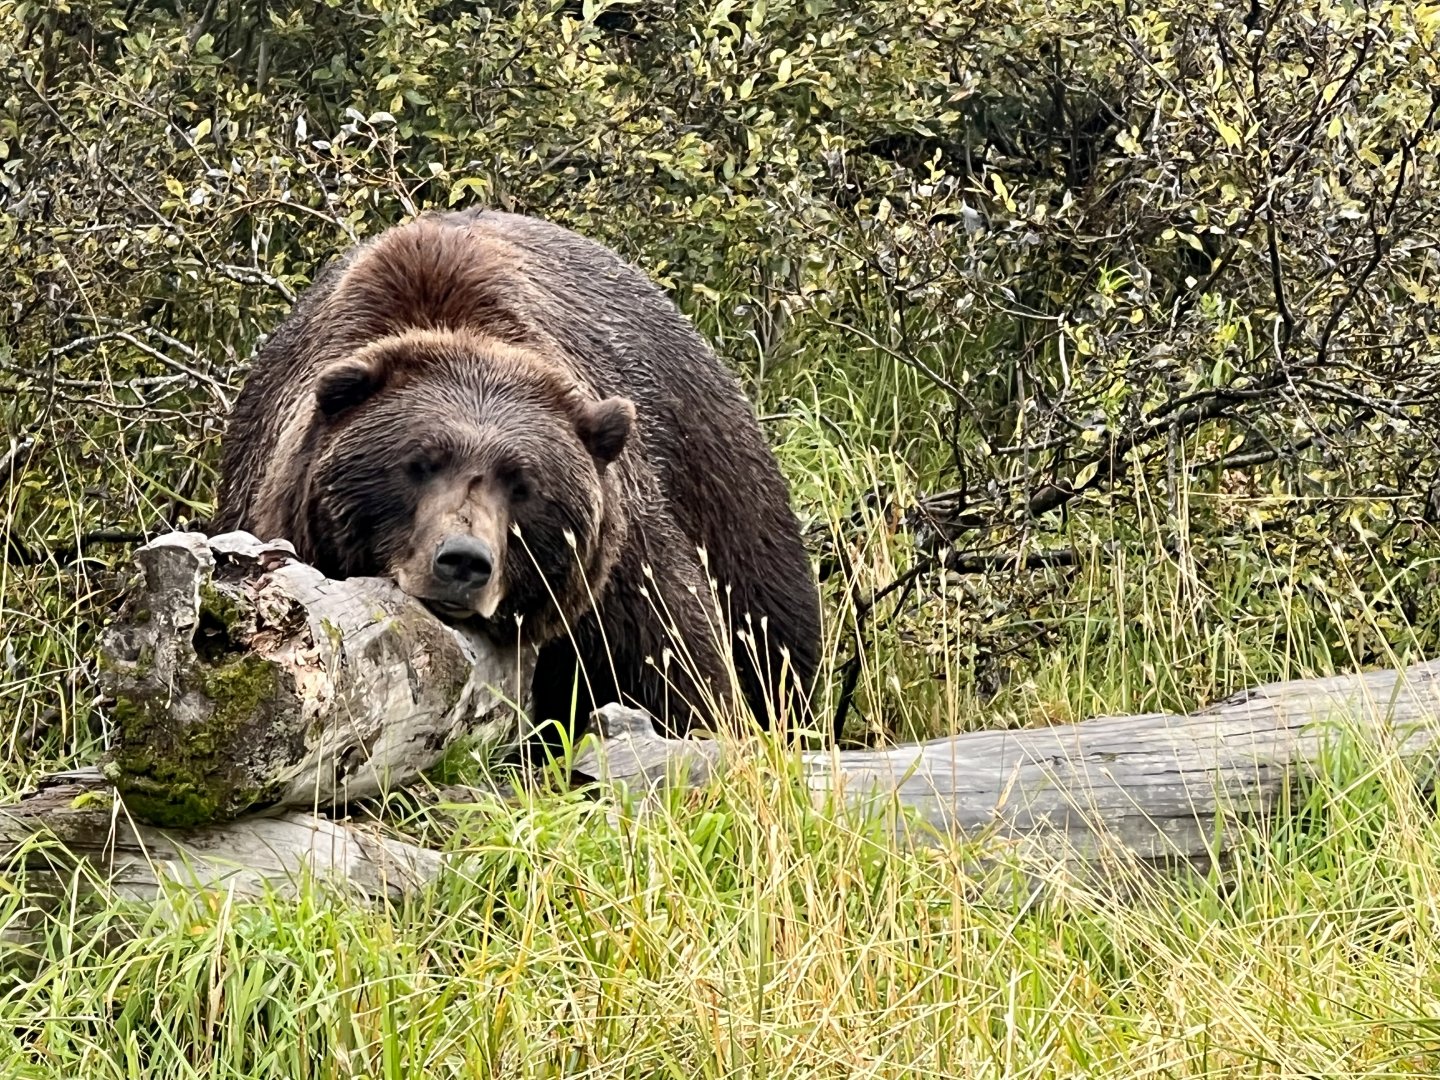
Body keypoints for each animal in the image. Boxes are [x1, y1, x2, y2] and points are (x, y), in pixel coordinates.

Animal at [213, 208, 822, 754]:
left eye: (523, 483)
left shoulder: (620, 579)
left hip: (728, 492)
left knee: (775, 636)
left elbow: (678, 669)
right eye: (418, 463)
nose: (463, 561)